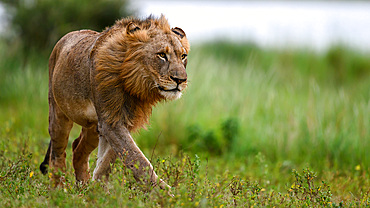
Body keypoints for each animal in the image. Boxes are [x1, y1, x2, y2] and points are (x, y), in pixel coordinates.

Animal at [39, 15, 189, 190]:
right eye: (162, 55)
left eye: (183, 56)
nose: (180, 80)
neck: (135, 84)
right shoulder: (110, 121)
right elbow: (137, 160)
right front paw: (167, 193)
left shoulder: (123, 121)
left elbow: (109, 159)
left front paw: (98, 188)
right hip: (58, 113)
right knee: (58, 154)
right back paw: (59, 189)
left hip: (93, 127)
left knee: (77, 148)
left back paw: (83, 186)